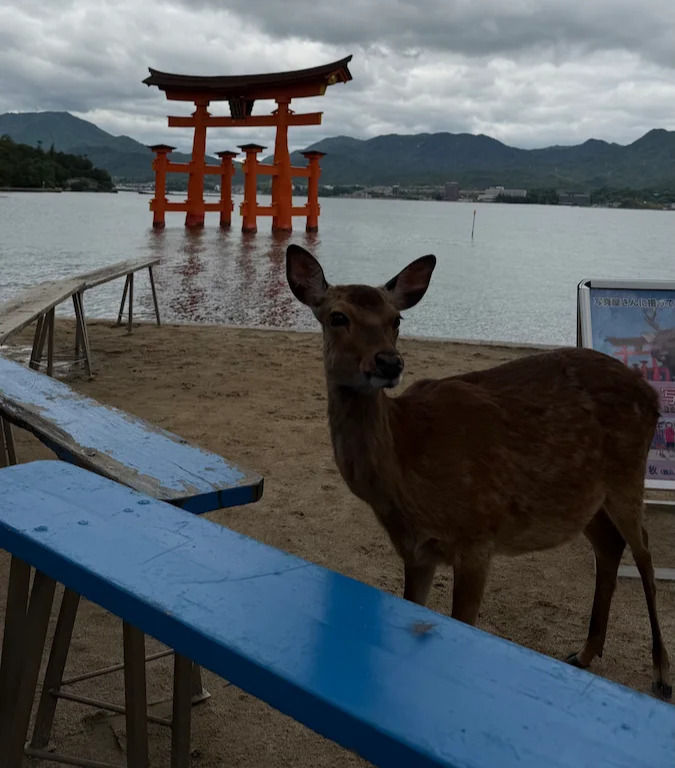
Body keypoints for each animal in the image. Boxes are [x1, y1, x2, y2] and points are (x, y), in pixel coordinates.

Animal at [285, 243, 671, 699]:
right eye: (337, 316)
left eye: (396, 319)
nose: (389, 362)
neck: (406, 477)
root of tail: (652, 395)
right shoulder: (415, 550)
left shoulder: (477, 536)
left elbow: (463, 623)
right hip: (584, 499)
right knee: (610, 545)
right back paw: (584, 652)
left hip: (629, 474)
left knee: (645, 554)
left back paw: (661, 674)